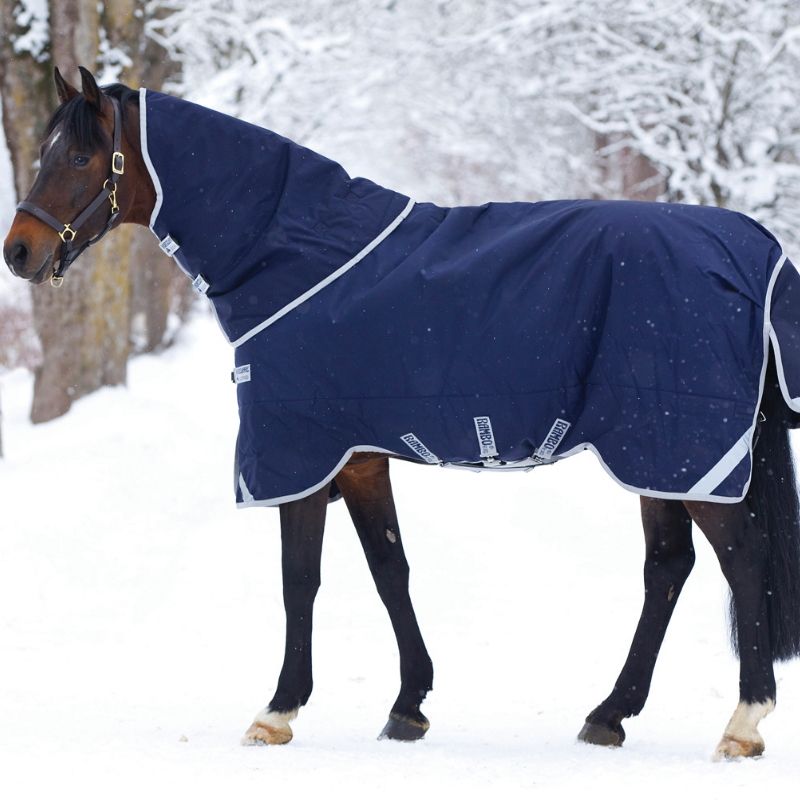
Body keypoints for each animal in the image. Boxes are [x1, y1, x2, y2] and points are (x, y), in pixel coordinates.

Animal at [4, 66, 800, 760]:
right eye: (44, 151)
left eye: (80, 155)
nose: (19, 252)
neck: (296, 256)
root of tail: (751, 247)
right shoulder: (358, 457)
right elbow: (390, 568)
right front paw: (408, 705)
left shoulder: (300, 456)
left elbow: (300, 579)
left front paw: (277, 710)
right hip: (657, 457)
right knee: (669, 567)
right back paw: (609, 715)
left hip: (682, 449)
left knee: (741, 558)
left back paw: (743, 722)